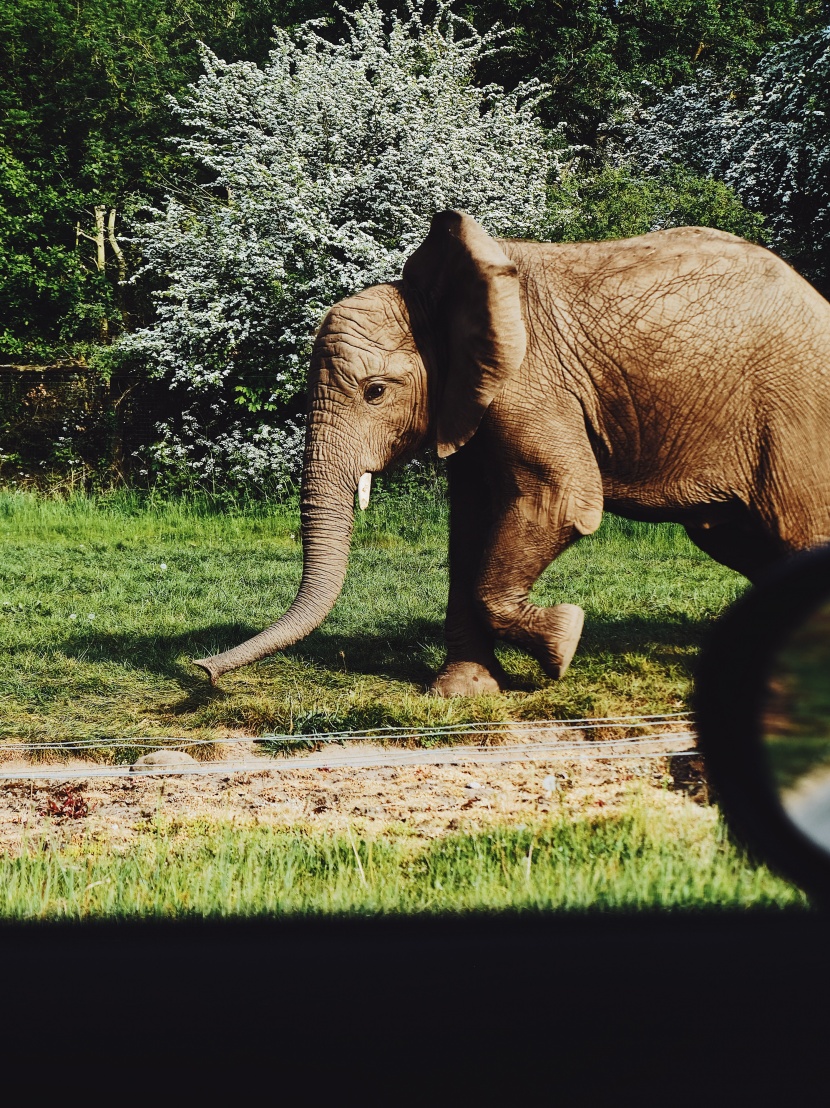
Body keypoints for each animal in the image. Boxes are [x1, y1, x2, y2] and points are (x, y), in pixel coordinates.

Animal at [196, 209, 830, 691]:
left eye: (375, 392)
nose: (202, 670)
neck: (435, 300)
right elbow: (471, 524)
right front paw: (461, 693)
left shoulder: (531, 382)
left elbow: (564, 501)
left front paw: (564, 643)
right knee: (736, 539)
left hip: (796, 414)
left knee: (796, 530)